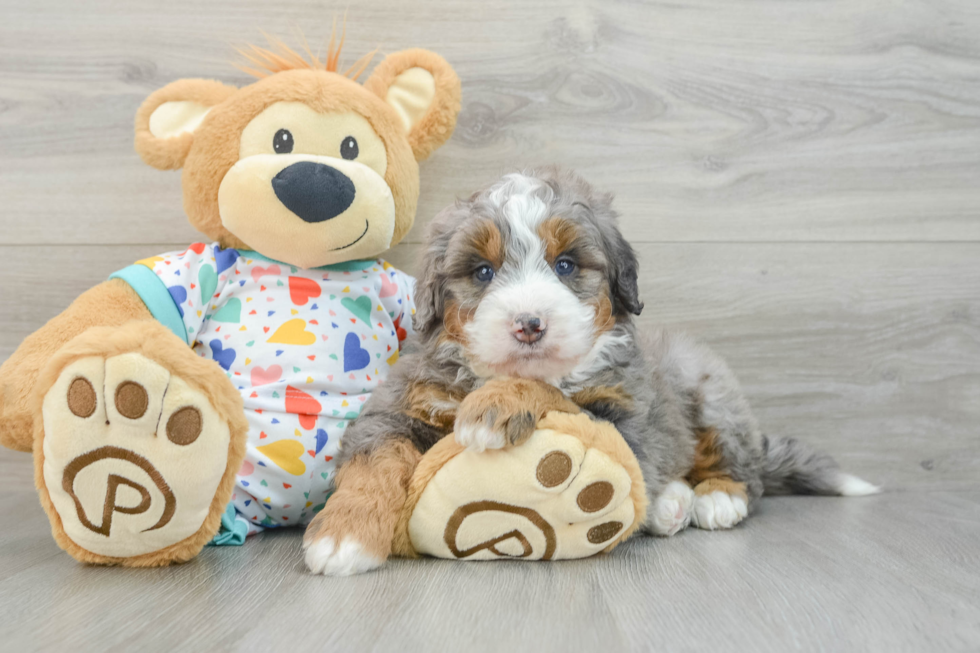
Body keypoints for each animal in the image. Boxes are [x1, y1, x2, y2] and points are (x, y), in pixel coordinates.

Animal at [300, 166, 880, 572]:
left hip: (710, 392)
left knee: (744, 472)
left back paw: (715, 499)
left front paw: (495, 406)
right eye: (483, 272)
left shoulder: (626, 418)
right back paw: (670, 504)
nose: (529, 325)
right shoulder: (401, 405)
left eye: (566, 266)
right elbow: (373, 461)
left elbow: (558, 399)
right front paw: (343, 535)